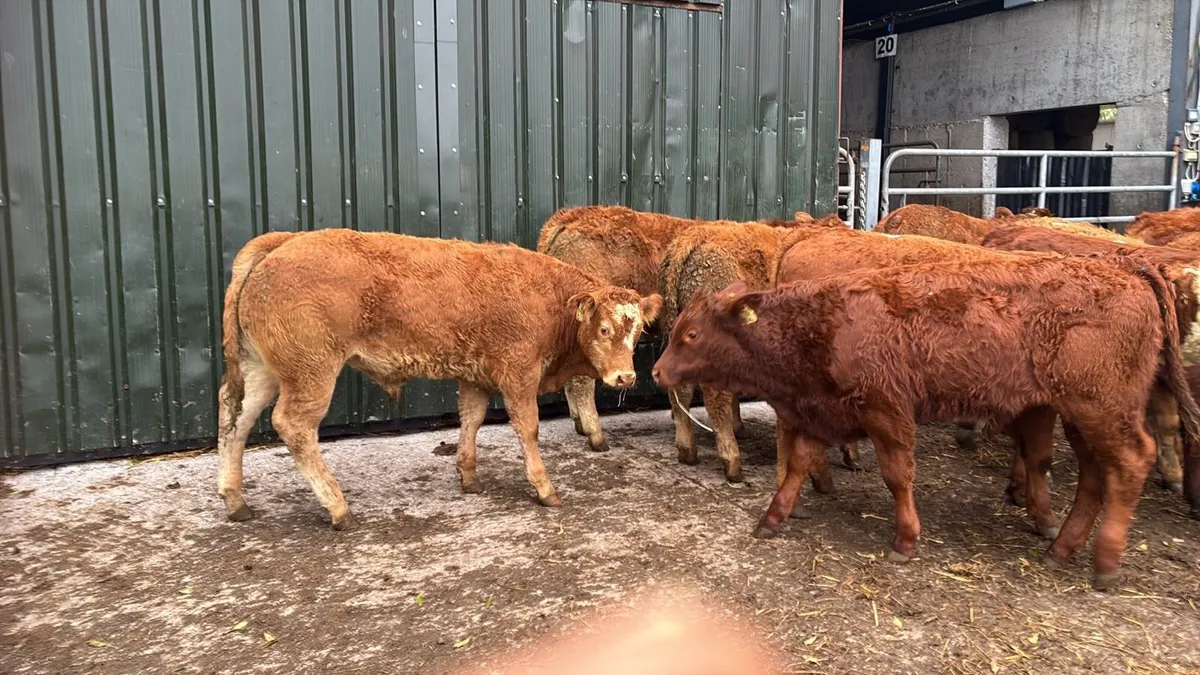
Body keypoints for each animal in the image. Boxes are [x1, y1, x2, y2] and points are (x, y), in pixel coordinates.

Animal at [217, 228, 662, 529]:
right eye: (603, 329)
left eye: (637, 331)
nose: (625, 377)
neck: (549, 298)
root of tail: (283, 242)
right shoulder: (518, 373)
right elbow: (528, 428)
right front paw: (544, 487)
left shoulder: (477, 375)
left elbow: (471, 419)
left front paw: (468, 475)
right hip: (311, 372)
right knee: (291, 425)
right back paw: (337, 506)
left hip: (260, 371)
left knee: (234, 417)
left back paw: (235, 500)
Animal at [651, 254, 1200, 590]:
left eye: (692, 334)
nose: (656, 371)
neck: (820, 322)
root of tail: (1131, 271)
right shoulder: (819, 413)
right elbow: (798, 466)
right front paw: (771, 519)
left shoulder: (887, 411)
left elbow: (898, 475)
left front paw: (906, 540)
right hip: (1079, 416)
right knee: (1093, 475)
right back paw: (1062, 547)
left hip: (1102, 409)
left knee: (1131, 462)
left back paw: (1105, 562)